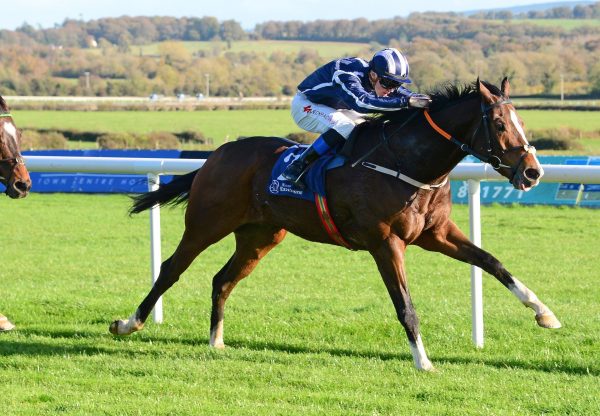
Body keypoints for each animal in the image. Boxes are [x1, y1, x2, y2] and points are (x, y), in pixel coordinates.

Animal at [109, 79, 564, 372]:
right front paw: (423, 361)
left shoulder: (436, 234)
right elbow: (405, 304)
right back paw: (128, 323)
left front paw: (544, 312)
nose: (533, 172)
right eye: (500, 125)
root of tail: (217, 155)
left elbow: (493, 263)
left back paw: (216, 341)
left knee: (222, 279)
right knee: (171, 269)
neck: (408, 163)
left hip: (260, 236)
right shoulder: (386, 242)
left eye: (521, 122)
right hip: (207, 223)